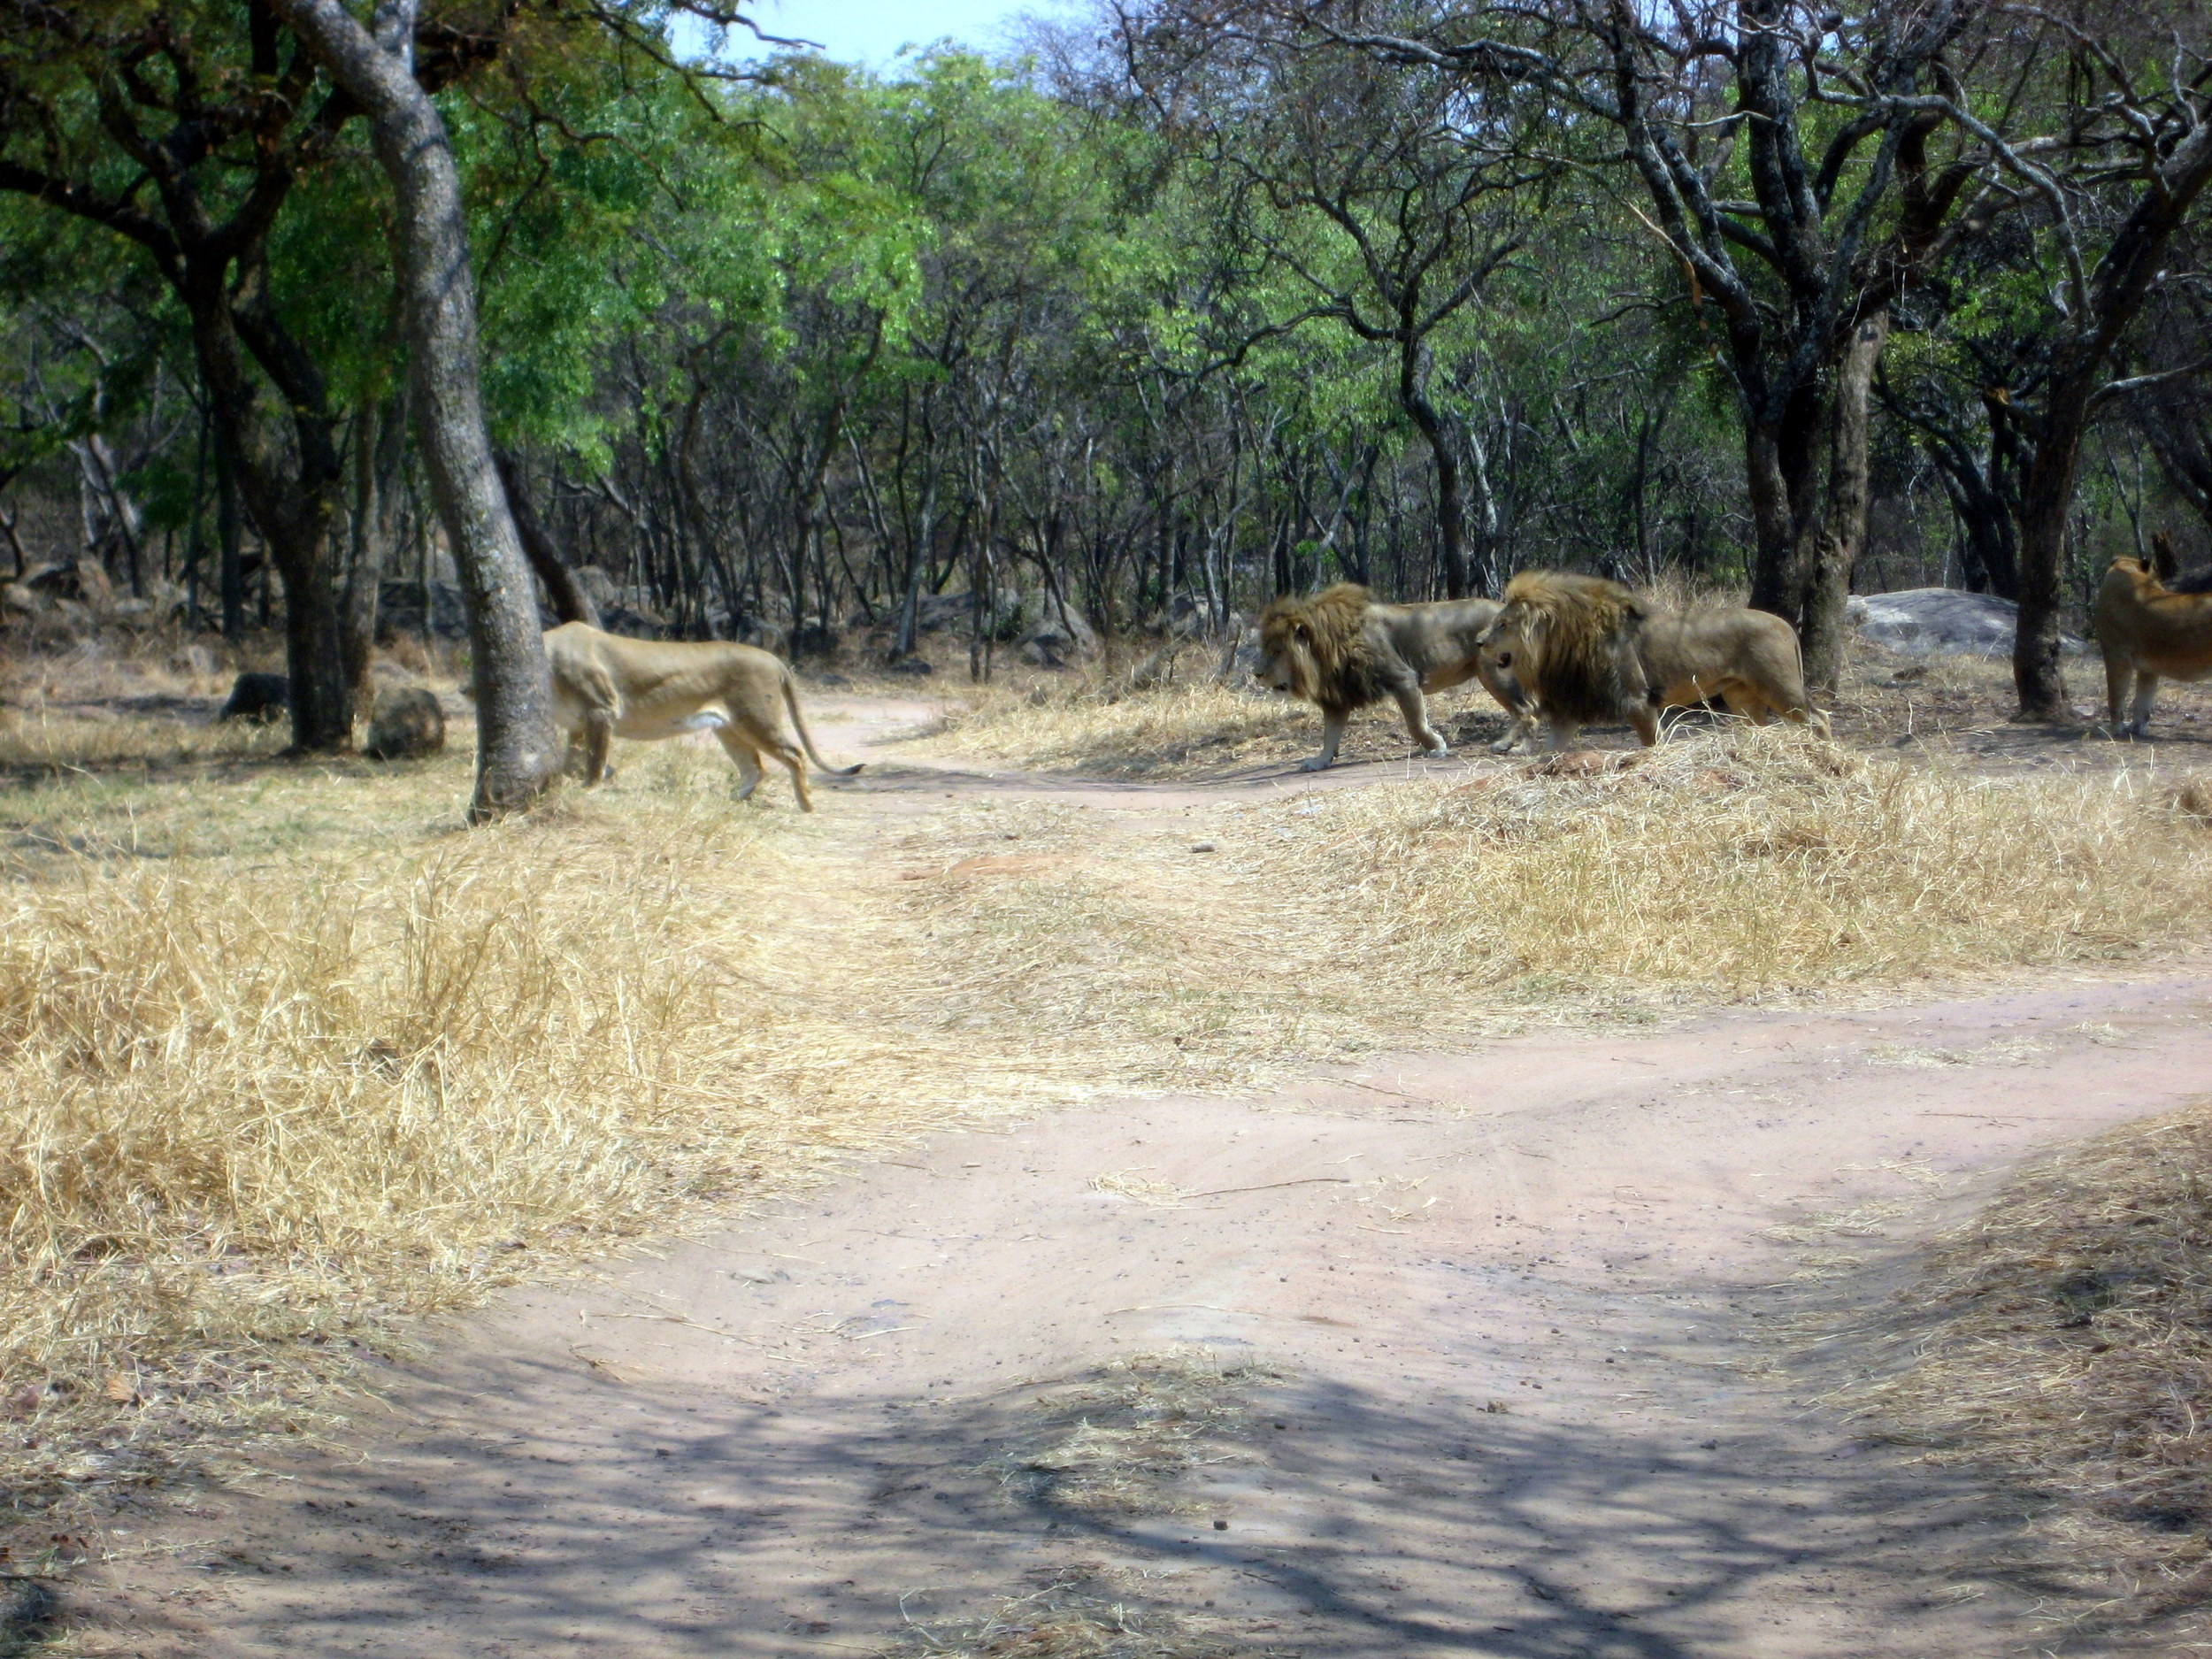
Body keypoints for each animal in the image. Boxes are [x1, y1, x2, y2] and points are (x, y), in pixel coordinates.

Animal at [544, 622, 862, 810]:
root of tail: (773, 658)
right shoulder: (578, 724)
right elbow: (571, 761)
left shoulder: (601, 710)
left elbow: (594, 760)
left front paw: (588, 789)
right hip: (729, 728)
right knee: (755, 767)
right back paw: (730, 800)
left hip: (756, 718)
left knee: (794, 753)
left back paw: (805, 803)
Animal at [1252, 583, 1536, 771]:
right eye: (1265, 649)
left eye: (1276, 651)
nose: (1257, 674)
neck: (1327, 649)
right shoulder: (1339, 696)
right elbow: (1329, 735)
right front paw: (1320, 761)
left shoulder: (1404, 679)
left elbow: (1415, 724)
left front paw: (1436, 746)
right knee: (1528, 710)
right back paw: (1516, 744)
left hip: (1494, 674)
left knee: (1525, 710)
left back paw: (1511, 746)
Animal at [2091, 555, 2212, 738]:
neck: (2125, 567)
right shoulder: (2148, 668)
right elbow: (2143, 701)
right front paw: (2136, 729)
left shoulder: (2116, 655)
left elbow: (2116, 696)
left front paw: (2115, 730)